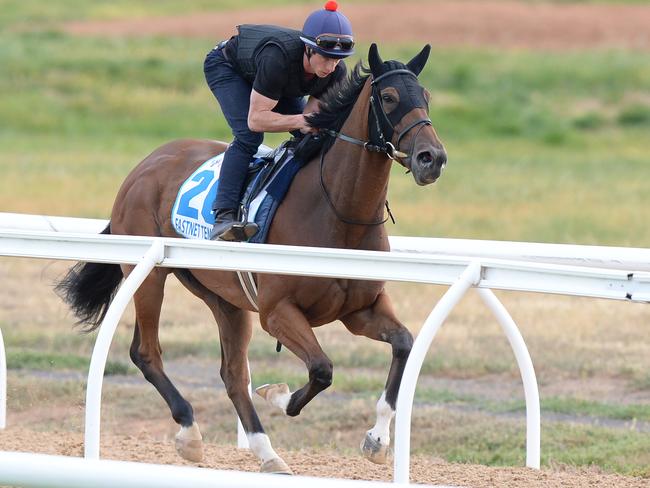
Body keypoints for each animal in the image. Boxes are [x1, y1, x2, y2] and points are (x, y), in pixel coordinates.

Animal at [55, 44, 446, 472]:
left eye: (426, 96)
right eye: (389, 98)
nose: (432, 158)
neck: (338, 212)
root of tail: (145, 164)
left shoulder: (360, 310)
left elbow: (404, 344)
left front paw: (376, 439)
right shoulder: (276, 312)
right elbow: (321, 369)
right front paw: (277, 393)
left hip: (222, 296)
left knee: (230, 374)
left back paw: (267, 453)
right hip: (150, 275)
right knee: (146, 352)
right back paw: (190, 432)